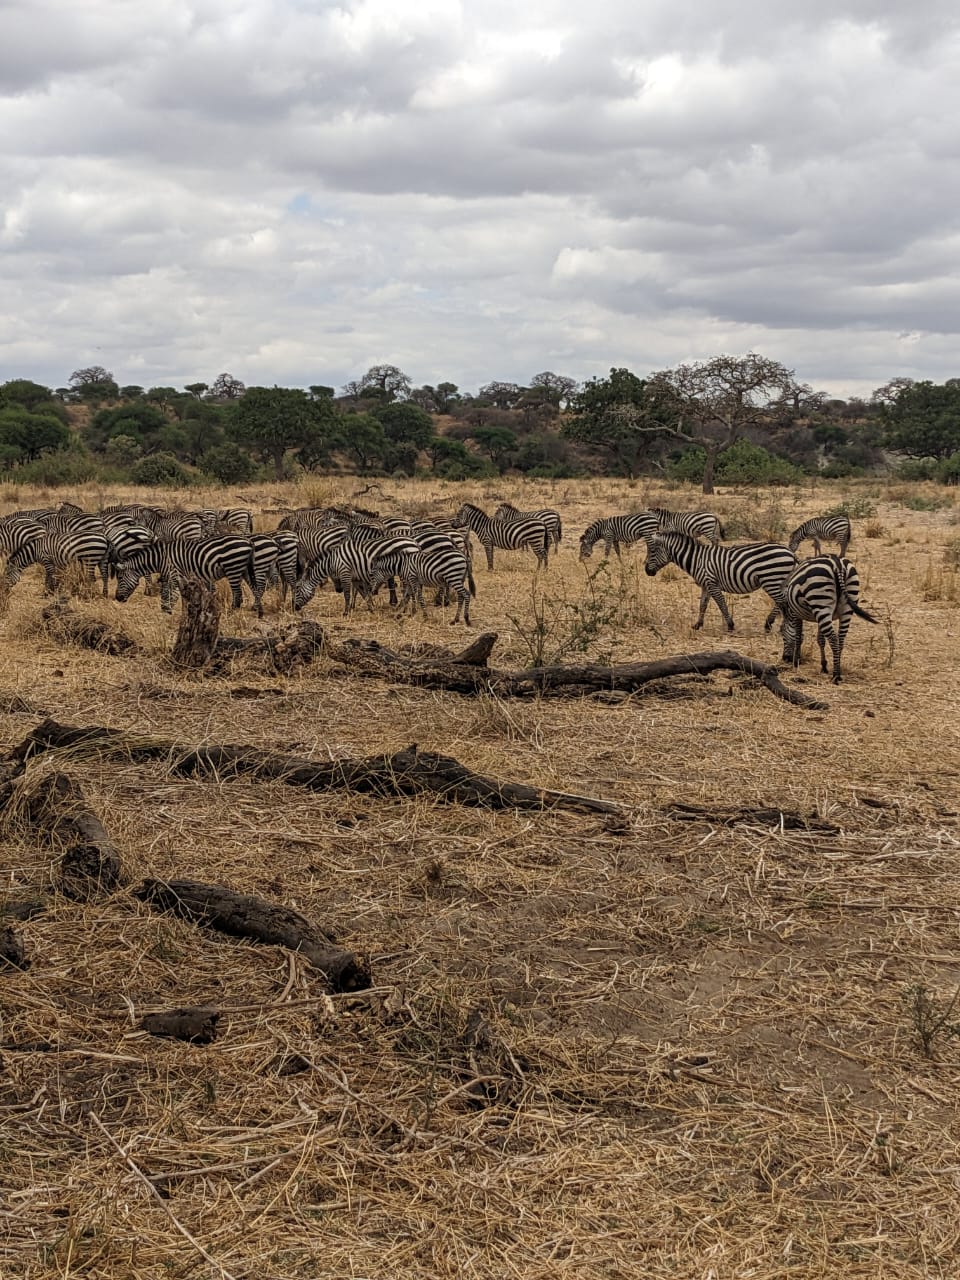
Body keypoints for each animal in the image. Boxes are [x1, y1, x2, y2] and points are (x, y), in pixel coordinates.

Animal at [115, 536, 255, 613]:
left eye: (120, 578)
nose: (118, 598)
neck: (161, 559)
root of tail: (248, 541)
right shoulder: (178, 577)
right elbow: (175, 595)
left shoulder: (174, 575)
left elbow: (171, 595)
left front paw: (168, 612)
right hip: (245, 571)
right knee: (254, 589)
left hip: (233, 569)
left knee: (238, 595)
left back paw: (230, 612)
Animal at [643, 531, 798, 631]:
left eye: (652, 551)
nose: (646, 571)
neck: (697, 559)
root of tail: (791, 553)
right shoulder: (705, 585)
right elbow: (703, 605)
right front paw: (697, 625)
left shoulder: (712, 583)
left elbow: (721, 604)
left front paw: (730, 625)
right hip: (778, 581)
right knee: (781, 602)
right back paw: (771, 623)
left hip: (771, 579)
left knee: (782, 601)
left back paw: (777, 625)